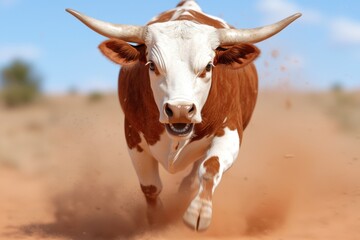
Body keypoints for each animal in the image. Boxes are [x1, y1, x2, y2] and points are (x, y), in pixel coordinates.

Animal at [65, 0, 300, 232]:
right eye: (152, 65)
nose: (180, 109)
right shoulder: (132, 135)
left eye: (208, 66)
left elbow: (210, 168)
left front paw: (199, 213)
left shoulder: (231, 131)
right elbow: (150, 186)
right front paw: (156, 220)